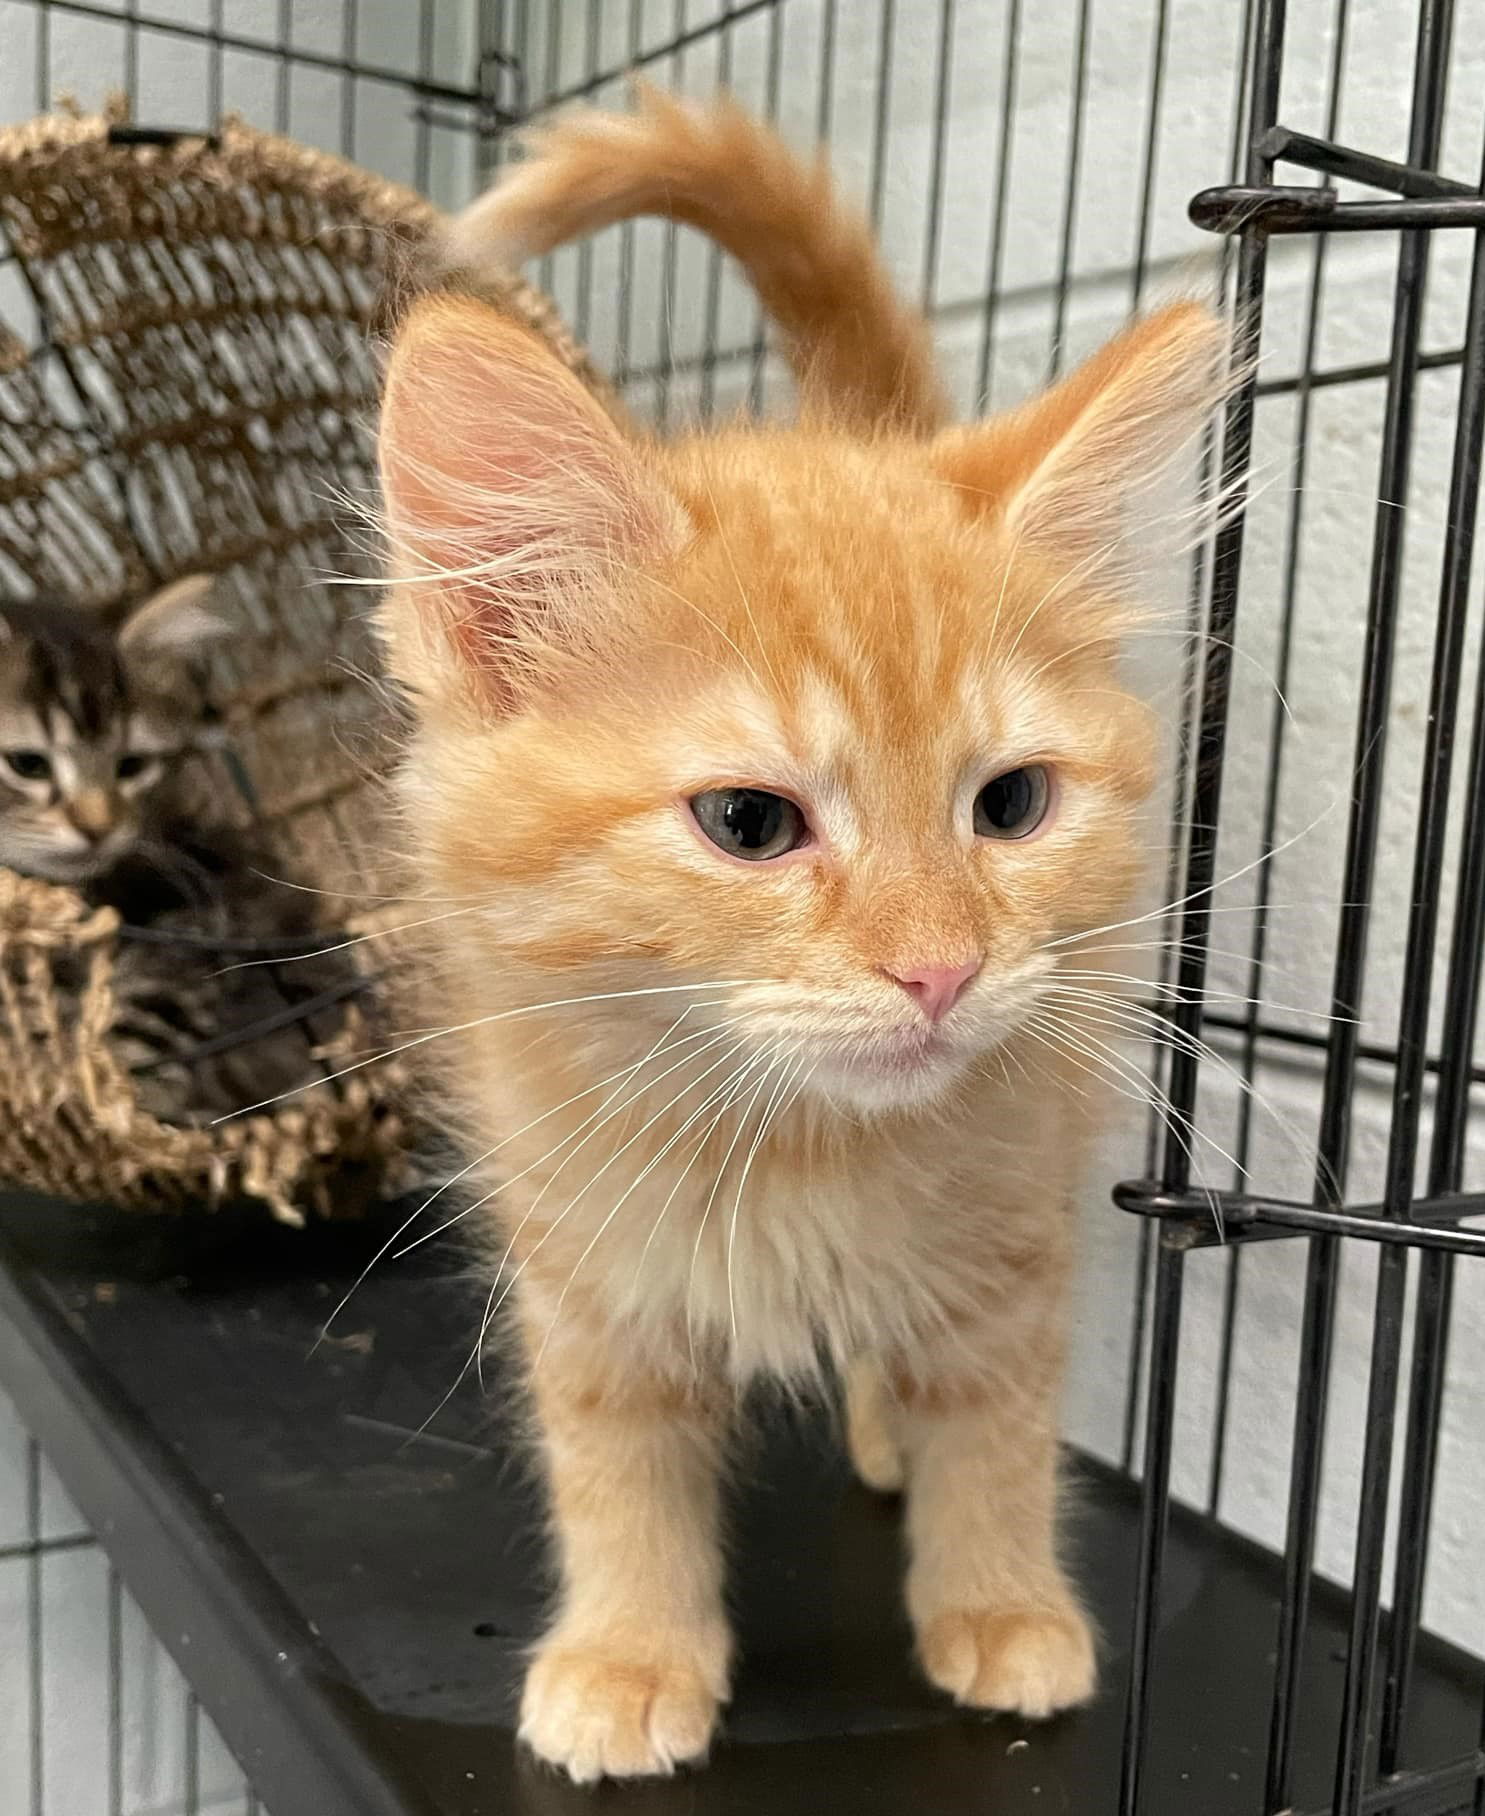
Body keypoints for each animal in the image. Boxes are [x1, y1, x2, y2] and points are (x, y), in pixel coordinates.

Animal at [379, 92, 1227, 1779]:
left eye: (1011, 803)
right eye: (750, 824)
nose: (942, 968)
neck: (792, 1146)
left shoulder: (1018, 1225)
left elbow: (998, 1423)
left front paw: (1000, 1600)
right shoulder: (579, 1258)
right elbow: (614, 1460)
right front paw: (633, 1649)